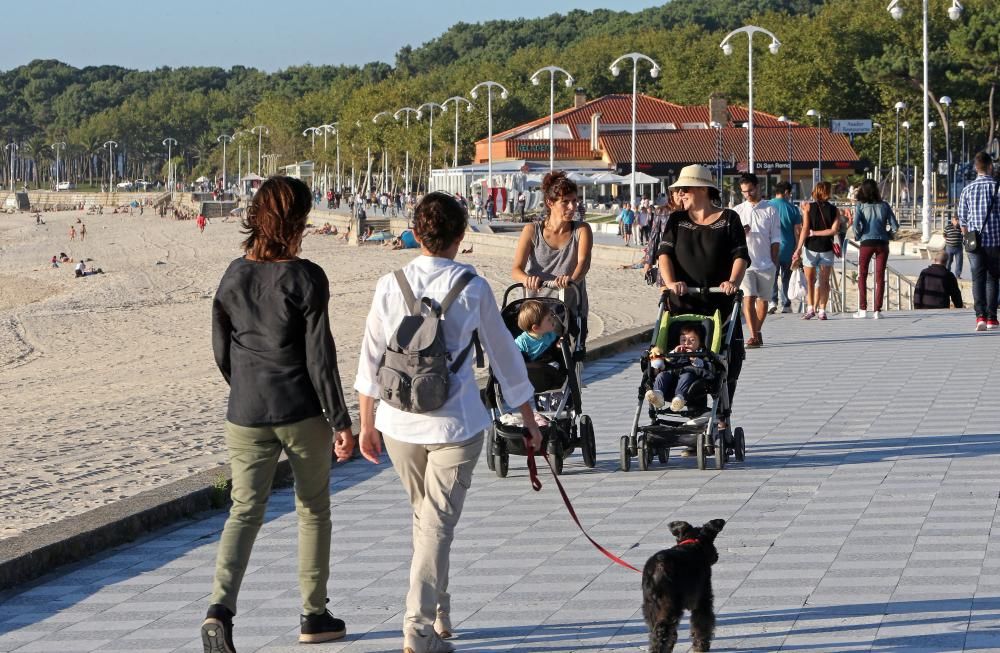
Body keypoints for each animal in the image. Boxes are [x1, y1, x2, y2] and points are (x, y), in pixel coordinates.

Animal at [644, 520, 724, 652]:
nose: (716, 556)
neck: (693, 544)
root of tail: (659, 567)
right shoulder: (703, 600)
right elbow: (702, 625)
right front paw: (701, 647)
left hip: (651, 608)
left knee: (657, 632)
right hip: (670, 606)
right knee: (662, 632)